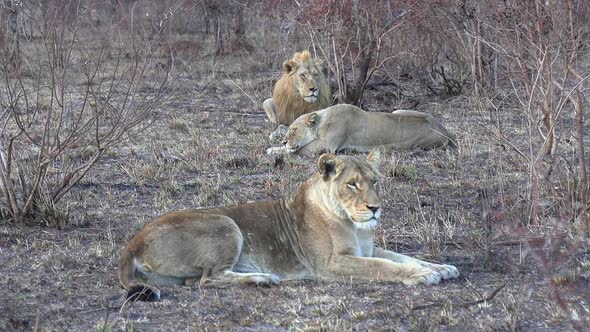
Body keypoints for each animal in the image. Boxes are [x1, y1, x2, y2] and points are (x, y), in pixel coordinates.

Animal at [120, 148, 460, 300]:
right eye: (352, 184)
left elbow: (404, 257)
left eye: (375, 181)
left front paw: (441, 267)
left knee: (195, 282)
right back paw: (263, 278)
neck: (352, 224)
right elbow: (385, 266)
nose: (374, 208)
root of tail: (132, 242)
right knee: (208, 279)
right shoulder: (332, 263)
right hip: (225, 222)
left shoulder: (367, 249)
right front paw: (421, 276)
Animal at [268, 104, 458, 156]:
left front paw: (275, 149)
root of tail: (445, 130)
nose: (284, 141)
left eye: (294, 130)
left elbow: (298, 150)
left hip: (417, 144)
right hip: (397, 111)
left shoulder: (326, 147)